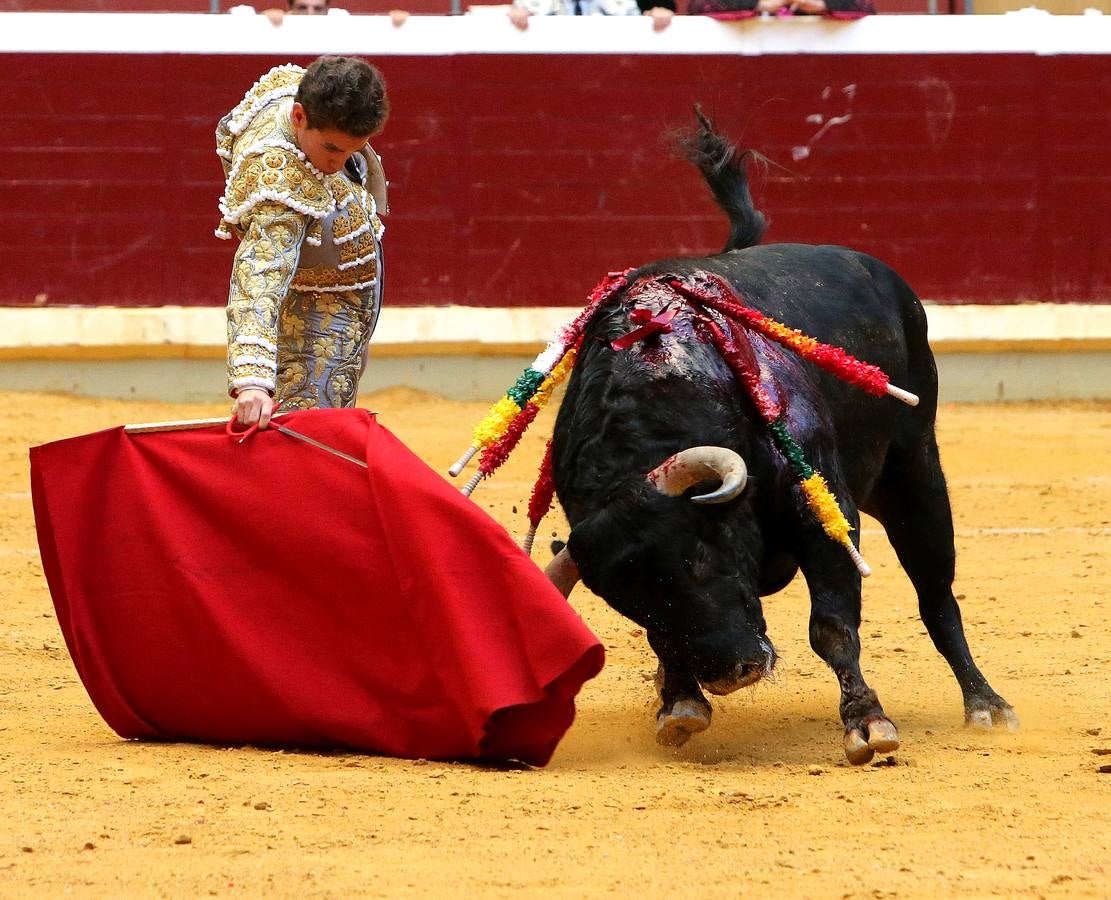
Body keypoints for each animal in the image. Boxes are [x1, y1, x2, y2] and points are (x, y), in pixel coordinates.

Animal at [546, 121, 1017, 764]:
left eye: (700, 554)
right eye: (625, 597)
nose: (731, 673)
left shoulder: (823, 511)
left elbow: (833, 626)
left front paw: (867, 724)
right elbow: (662, 640)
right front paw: (680, 703)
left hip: (915, 469)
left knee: (935, 590)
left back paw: (985, 704)